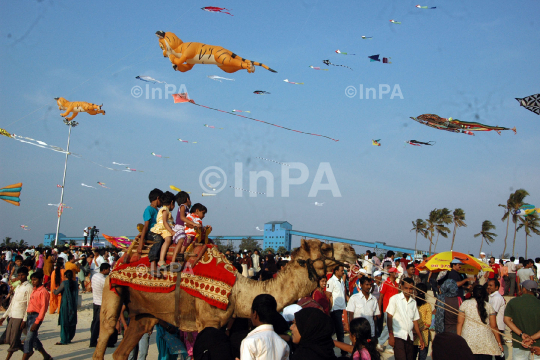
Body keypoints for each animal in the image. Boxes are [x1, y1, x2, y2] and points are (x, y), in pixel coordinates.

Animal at [91, 239, 356, 360]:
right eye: (325, 247)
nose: (353, 250)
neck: (237, 292)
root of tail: (121, 258)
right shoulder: (207, 321)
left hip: (143, 314)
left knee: (124, 348)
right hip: (113, 290)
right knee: (106, 330)